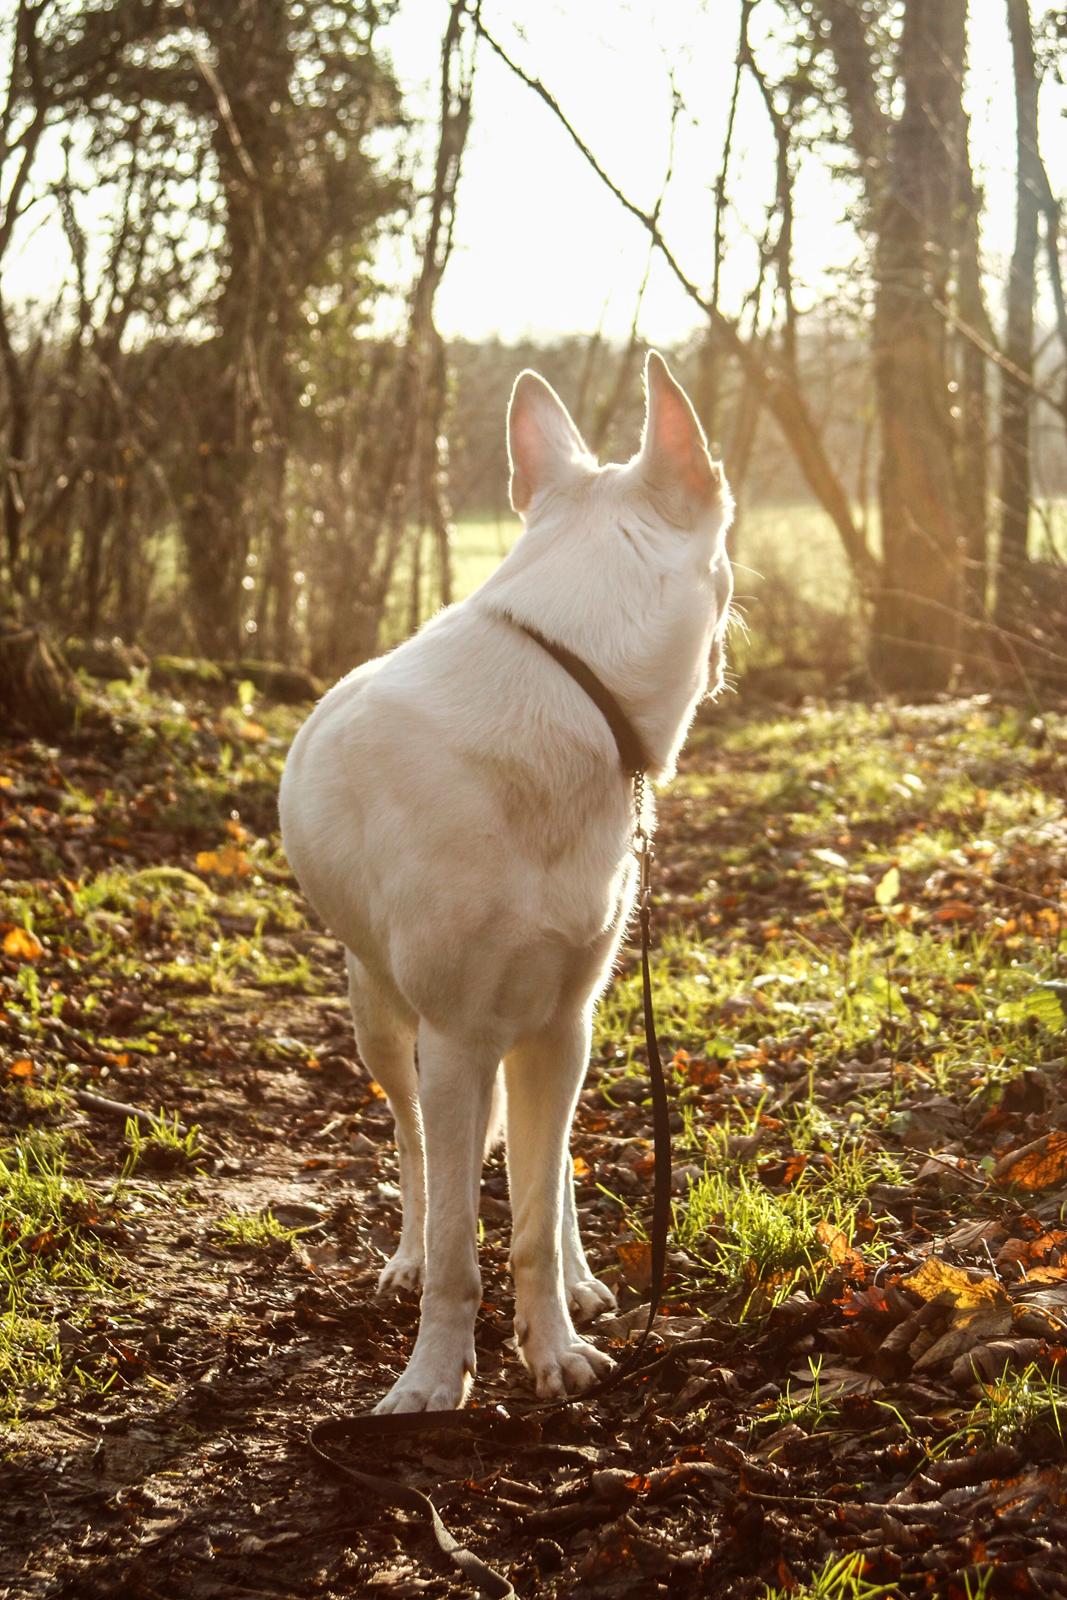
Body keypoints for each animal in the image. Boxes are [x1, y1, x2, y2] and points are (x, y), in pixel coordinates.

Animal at [279, 353, 735, 1414]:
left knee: (548, 1167)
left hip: (556, 1028)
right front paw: (431, 1377)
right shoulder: (453, 1040)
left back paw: (577, 1278)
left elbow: (529, 1213)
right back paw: (407, 1256)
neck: (569, 676)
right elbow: (457, 1240)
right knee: (413, 1151)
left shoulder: (565, 1018)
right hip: (384, 1021)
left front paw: (553, 1346)